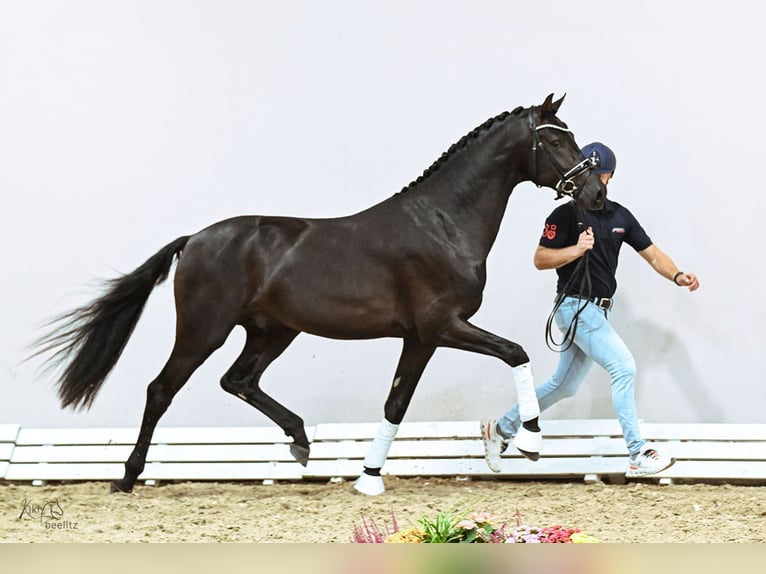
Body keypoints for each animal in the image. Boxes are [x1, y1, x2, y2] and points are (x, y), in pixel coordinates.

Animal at [32, 93, 605, 496]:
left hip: (272, 332)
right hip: (203, 329)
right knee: (161, 390)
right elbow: (516, 352)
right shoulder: (441, 327)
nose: (596, 193)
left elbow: (397, 402)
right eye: (557, 141)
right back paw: (127, 477)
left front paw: (368, 476)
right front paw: (529, 441)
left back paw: (301, 442)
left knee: (238, 380)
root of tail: (194, 239)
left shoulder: (420, 339)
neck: (443, 223)